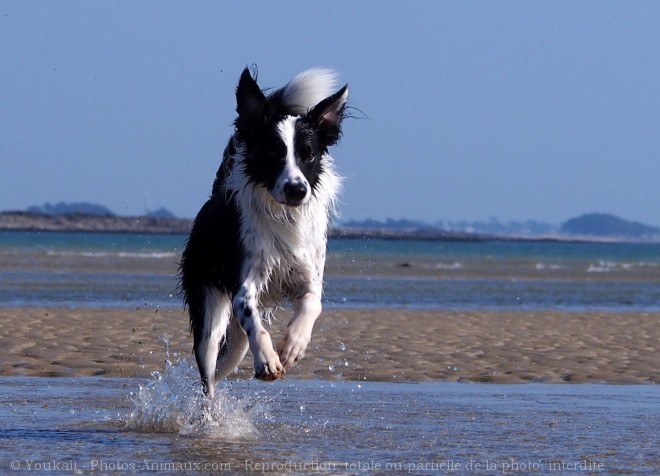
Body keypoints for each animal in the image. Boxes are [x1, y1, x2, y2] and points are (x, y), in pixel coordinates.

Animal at [178, 67, 348, 398]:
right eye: (273, 153)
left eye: (309, 154)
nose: (296, 190)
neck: (285, 216)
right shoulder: (244, 286)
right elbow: (254, 320)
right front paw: (269, 361)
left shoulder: (308, 275)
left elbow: (313, 304)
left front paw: (294, 345)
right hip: (210, 315)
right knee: (208, 374)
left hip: (236, 346)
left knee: (223, 366)